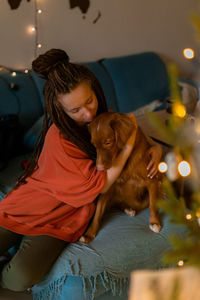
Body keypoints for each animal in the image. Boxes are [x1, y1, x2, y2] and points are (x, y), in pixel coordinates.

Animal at [79, 111, 162, 243]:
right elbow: (97, 214)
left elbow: (153, 205)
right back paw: (128, 209)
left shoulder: (152, 180)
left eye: (108, 142)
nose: (99, 168)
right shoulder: (107, 188)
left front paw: (154, 223)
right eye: (94, 145)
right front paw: (89, 234)